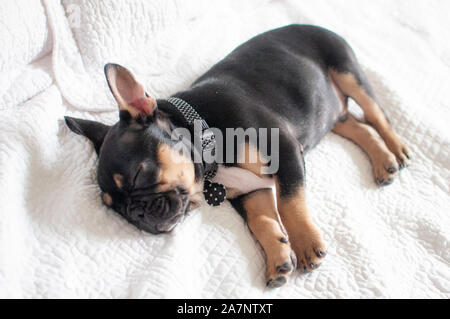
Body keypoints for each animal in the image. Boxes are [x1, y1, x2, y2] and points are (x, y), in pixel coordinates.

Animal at [65, 25, 414, 288]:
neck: (203, 132)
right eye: (115, 210)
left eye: (140, 174)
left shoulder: (285, 150)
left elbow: (289, 203)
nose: (135, 213)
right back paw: (383, 162)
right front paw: (278, 257)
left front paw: (304, 242)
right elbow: (261, 220)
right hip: (329, 113)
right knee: (358, 126)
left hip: (347, 72)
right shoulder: (251, 191)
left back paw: (396, 148)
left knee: (376, 114)